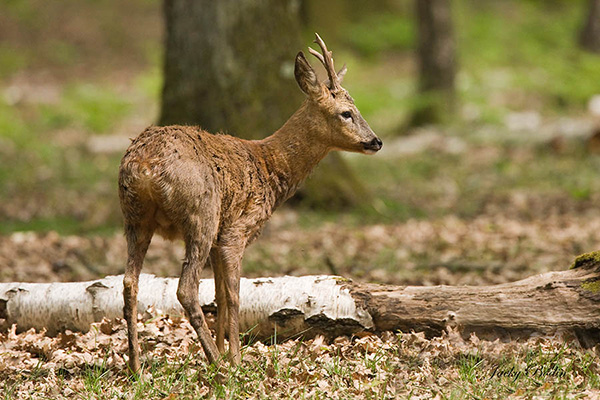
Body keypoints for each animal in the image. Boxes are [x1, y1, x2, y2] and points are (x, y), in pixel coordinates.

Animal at [118, 32, 382, 374]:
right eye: (346, 113)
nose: (376, 141)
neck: (270, 168)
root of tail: (144, 163)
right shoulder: (235, 232)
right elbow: (234, 297)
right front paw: (235, 360)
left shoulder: (219, 239)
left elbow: (218, 294)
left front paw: (224, 351)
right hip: (201, 214)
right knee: (185, 289)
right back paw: (217, 367)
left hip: (135, 217)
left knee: (129, 282)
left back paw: (137, 368)